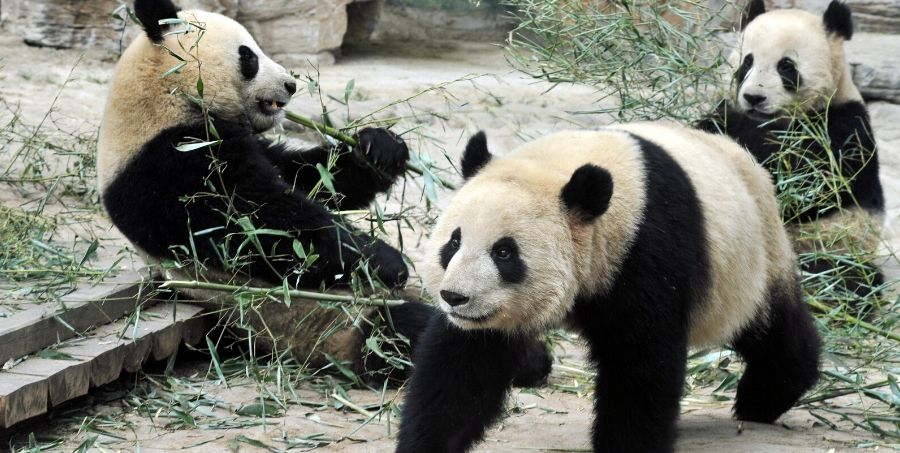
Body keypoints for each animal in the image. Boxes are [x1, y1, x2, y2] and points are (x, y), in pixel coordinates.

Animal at [97, 0, 552, 383]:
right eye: (249, 56)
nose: (290, 85)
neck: (162, 98)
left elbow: (309, 179)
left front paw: (379, 148)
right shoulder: (168, 166)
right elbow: (260, 228)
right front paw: (386, 260)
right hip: (328, 324)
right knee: (406, 332)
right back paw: (528, 360)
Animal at [395, 123, 821, 453]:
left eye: (504, 252)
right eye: (453, 243)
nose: (455, 297)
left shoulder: (647, 250)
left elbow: (640, 365)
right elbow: (461, 371)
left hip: (750, 260)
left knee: (771, 328)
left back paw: (763, 397)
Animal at [696, 0, 884, 306]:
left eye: (786, 66)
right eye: (747, 62)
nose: (754, 98)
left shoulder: (844, 126)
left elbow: (808, 180)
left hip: (835, 248)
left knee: (848, 281)